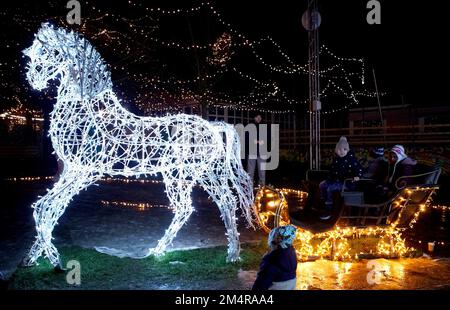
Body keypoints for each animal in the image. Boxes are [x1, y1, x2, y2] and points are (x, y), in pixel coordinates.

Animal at [22, 23, 255, 268]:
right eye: (30, 53)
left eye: (46, 51)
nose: (34, 81)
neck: (88, 109)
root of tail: (211, 126)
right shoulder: (70, 169)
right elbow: (47, 207)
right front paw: (33, 256)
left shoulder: (86, 171)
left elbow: (47, 207)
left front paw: (53, 258)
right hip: (206, 172)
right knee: (225, 202)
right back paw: (227, 253)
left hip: (181, 175)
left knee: (191, 206)